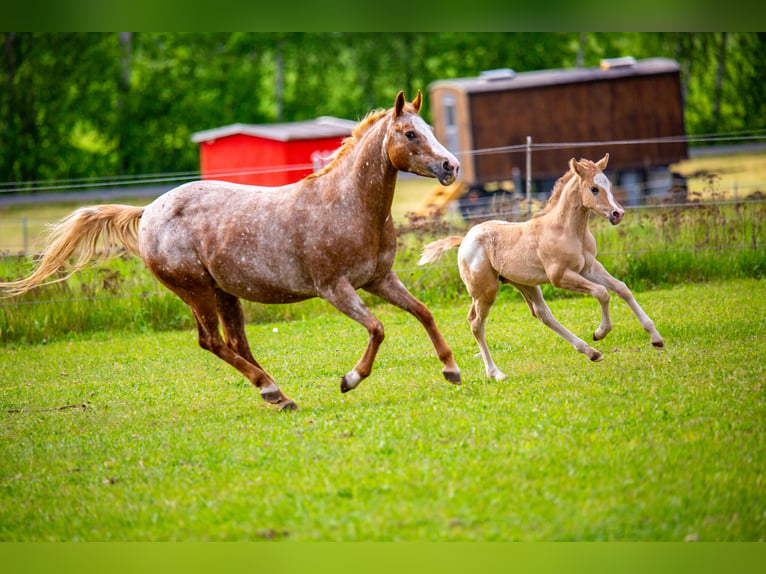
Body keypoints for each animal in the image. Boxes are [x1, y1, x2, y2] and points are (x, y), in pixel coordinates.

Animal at [1, 91, 462, 410]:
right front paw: (350, 379)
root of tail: (148, 211)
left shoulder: (380, 279)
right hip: (196, 291)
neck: (346, 204)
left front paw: (451, 368)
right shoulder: (336, 288)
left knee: (236, 342)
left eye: (431, 129)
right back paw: (271, 389)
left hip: (224, 293)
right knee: (212, 342)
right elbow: (378, 329)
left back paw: (277, 393)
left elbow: (423, 312)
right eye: (410, 133)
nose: (451, 166)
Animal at [418, 154, 664, 381]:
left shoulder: (589, 268)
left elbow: (622, 288)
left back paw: (591, 352)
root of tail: (465, 239)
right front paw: (600, 332)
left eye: (609, 186)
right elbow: (602, 293)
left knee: (541, 314)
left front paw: (656, 338)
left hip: (524, 284)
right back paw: (495, 373)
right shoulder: (560, 276)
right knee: (476, 323)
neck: (566, 229)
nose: (617, 214)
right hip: (485, 291)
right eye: (594, 189)